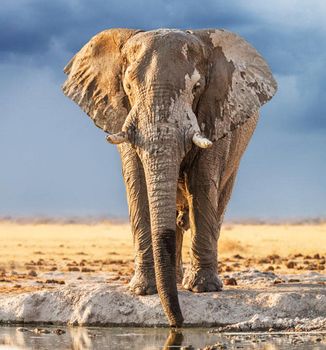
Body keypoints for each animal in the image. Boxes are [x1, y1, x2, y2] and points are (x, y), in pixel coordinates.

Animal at [62, 26, 276, 326]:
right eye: (128, 87)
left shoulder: (217, 112)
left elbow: (202, 182)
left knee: (218, 199)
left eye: (196, 88)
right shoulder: (122, 116)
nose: (178, 323)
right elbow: (137, 183)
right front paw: (143, 290)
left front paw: (202, 289)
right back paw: (172, 280)